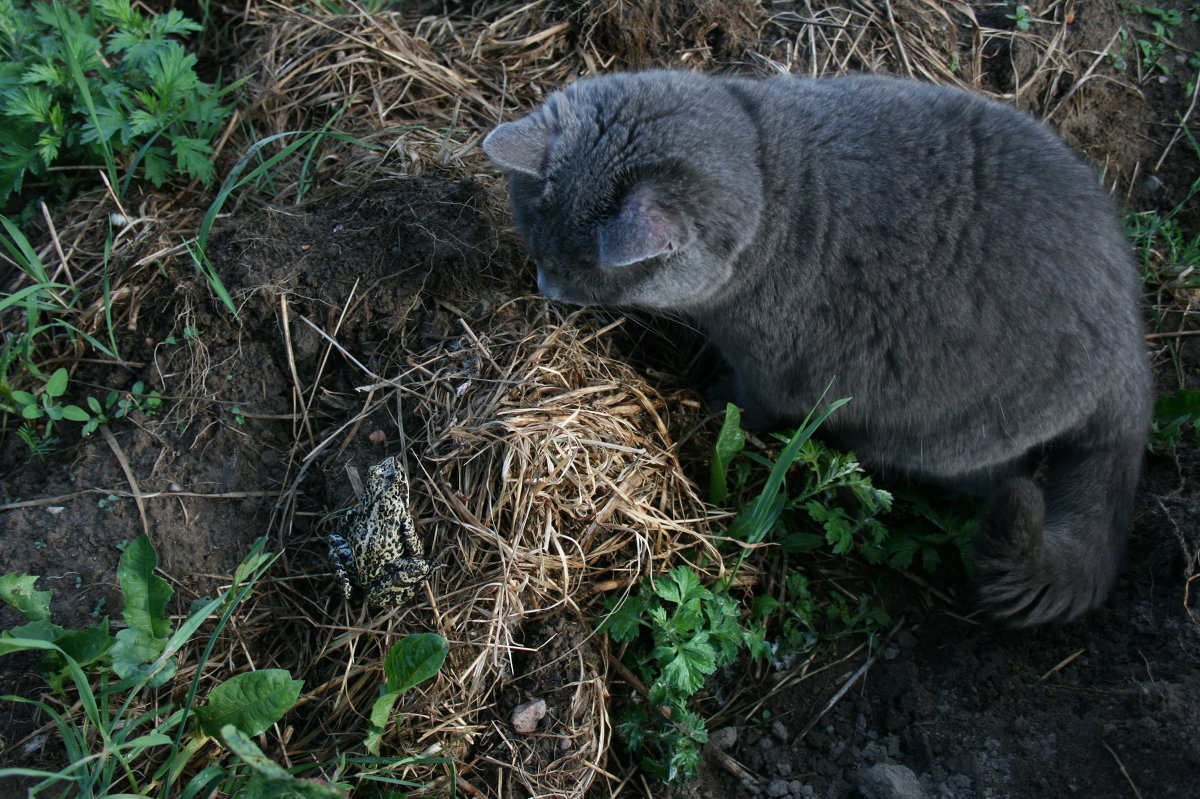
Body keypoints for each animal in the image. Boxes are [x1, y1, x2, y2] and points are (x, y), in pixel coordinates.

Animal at [480, 71, 1152, 623]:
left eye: (578, 272)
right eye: (535, 244)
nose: (544, 285)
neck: (771, 174)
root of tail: (1131, 343)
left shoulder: (772, 369)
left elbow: (751, 403)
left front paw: (712, 398)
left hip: (943, 440)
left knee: (1001, 477)